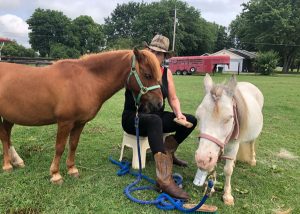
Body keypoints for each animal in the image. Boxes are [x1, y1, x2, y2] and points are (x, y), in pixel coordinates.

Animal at [0, 48, 163, 184]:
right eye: (148, 75)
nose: (159, 104)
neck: (84, 80)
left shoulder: (79, 123)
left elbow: (73, 144)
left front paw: (72, 169)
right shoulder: (64, 122)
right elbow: (59, 147)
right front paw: (55, 174)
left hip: (9, 116)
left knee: (6, 135)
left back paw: (16, 161)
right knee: (4, 136)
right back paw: (7, 165)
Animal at [195, 74, 262, 206]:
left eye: (229, 118)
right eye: (198, 116)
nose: (202, 160)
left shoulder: (233, 145)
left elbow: (228, 170)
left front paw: (227, 195)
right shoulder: (214, 151)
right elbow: (214, 166)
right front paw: (210, 188)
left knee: (251, 143)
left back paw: (252, 160)